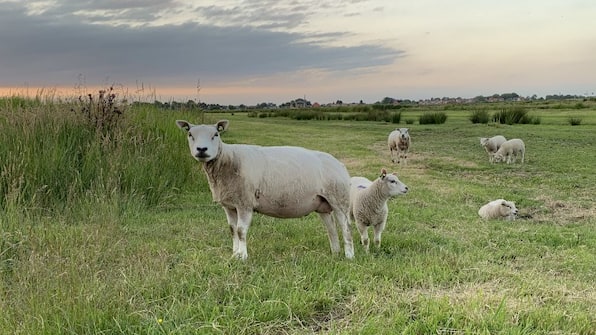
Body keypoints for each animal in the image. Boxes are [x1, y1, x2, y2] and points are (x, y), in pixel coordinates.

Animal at [176, 119, 354, 262]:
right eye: (190, 134)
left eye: (216, 134)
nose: (202, 149)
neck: (228, 160)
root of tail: (340, 164)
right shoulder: (229, 205)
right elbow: (232, 230)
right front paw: (234, 255)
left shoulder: (245, 203)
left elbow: (241, 231)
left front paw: (243, 257)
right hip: (322, 203)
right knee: (331, 228)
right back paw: (335, 253)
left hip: (339, 199)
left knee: (346, 227)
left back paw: (349, 256)